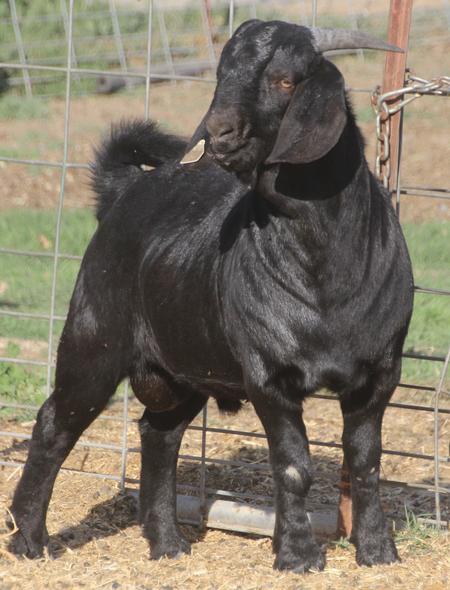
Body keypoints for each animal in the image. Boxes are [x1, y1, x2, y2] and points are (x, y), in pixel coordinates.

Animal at [8, 19, 414, 572]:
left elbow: (366, 463)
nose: (218, 134)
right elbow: (294, 466)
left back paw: (167, 543)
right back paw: (29, 539)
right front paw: (298, 556)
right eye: (222, 76)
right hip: (94, 339)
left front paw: (377, 550)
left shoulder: (379, 373)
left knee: (159, 432)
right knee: (55, 423)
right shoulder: (268, 375)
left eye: (285, 79)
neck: (325, 273)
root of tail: (123, 191)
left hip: (181, 366)